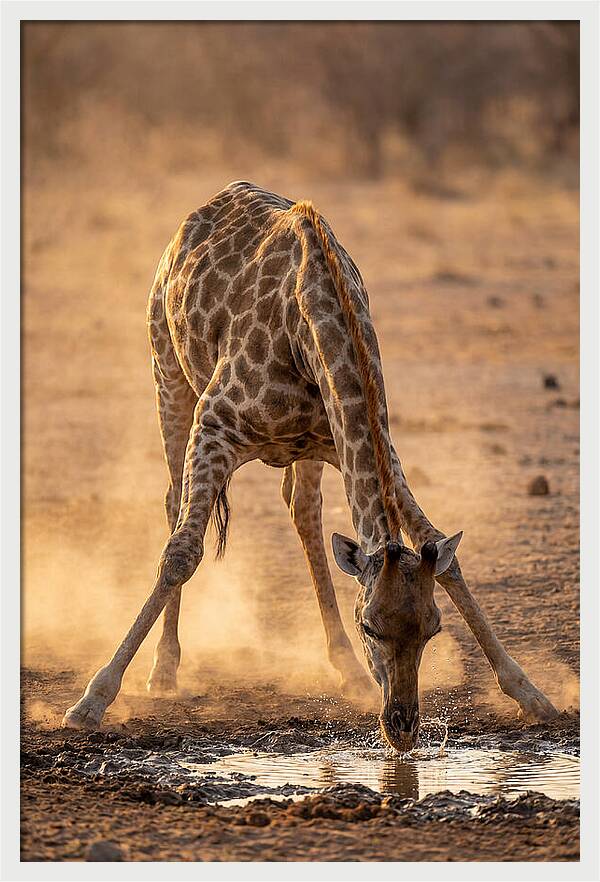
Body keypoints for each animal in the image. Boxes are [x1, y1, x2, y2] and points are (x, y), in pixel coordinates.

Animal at [62, 181, 558, 746]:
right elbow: (181, 555)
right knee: (174, 506)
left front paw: (530, 693)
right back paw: (164, 671)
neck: (314, 325)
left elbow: (444, 558)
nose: (402, 727)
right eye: (371, 625)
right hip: (167, 373)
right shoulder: (214, 425)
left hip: (306, 449)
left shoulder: (364, 443)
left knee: (304, 511)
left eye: (432, 628)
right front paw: (93, 699)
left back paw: (346, 669)